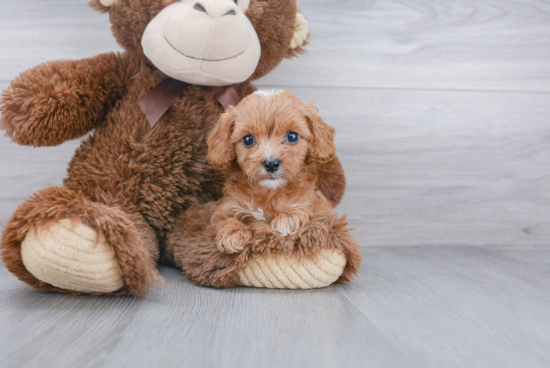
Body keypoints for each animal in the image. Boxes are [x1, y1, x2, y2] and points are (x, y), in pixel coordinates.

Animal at [209, 90, 340, 254]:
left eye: (292, 136)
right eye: (248, 139)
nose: (271, 164)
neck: (269, 193)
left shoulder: (315, 207)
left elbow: (300, 209)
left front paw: (286, 220)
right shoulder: (225, 208)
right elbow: (224, 219)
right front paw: (233, 234)